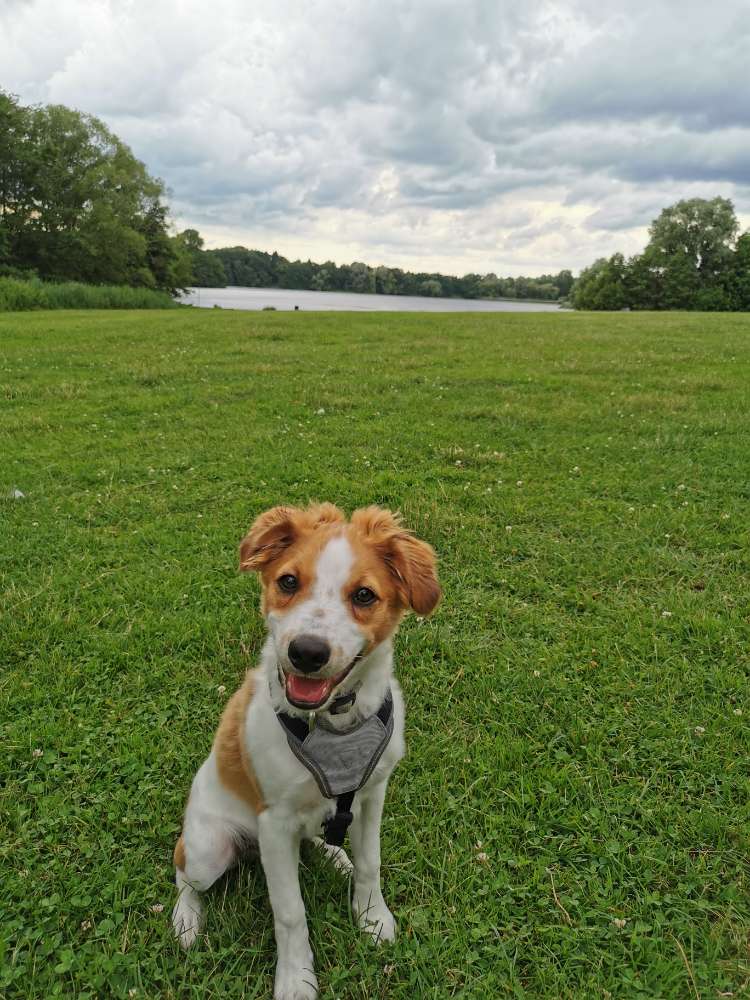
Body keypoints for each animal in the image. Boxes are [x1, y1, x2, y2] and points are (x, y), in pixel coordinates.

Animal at [172, 504, 440, 996]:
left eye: (364, 595)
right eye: (288, 582)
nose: (307, 652)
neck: (333, 724)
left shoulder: (373, 794)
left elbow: (371, 862)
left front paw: (373, 918)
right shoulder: (274, 823)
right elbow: (290, 912)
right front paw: (296, 978)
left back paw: (337, 856)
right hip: (206, 848)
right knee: (184, 874)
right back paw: (186, 920)